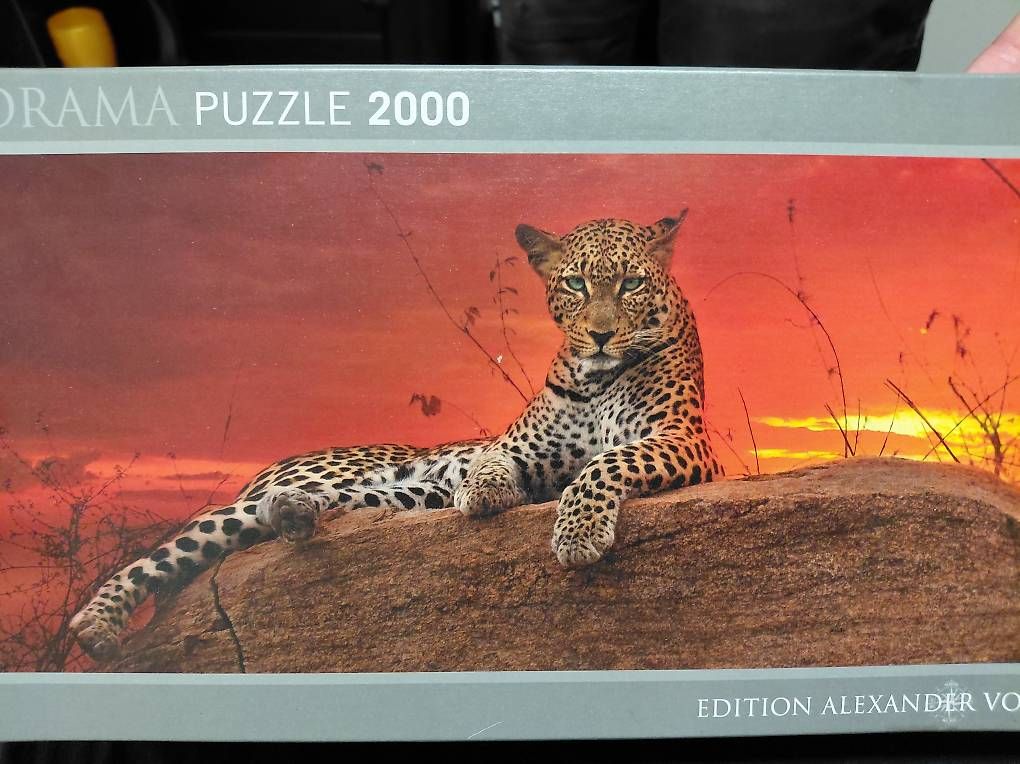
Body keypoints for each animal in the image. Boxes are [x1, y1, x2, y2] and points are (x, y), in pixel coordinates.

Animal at [69, 212, 722, 660]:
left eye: (632, 284)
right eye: (578, 286)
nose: (603, 335)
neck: (595, 375)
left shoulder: (681, 440)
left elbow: (604, 463)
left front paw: (578, 533)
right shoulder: (517, 448)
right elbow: (493, 462)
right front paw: (486, 492)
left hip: (383, 494)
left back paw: (295, 517)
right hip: (285, 491)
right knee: (169, 549)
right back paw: (95, 625)